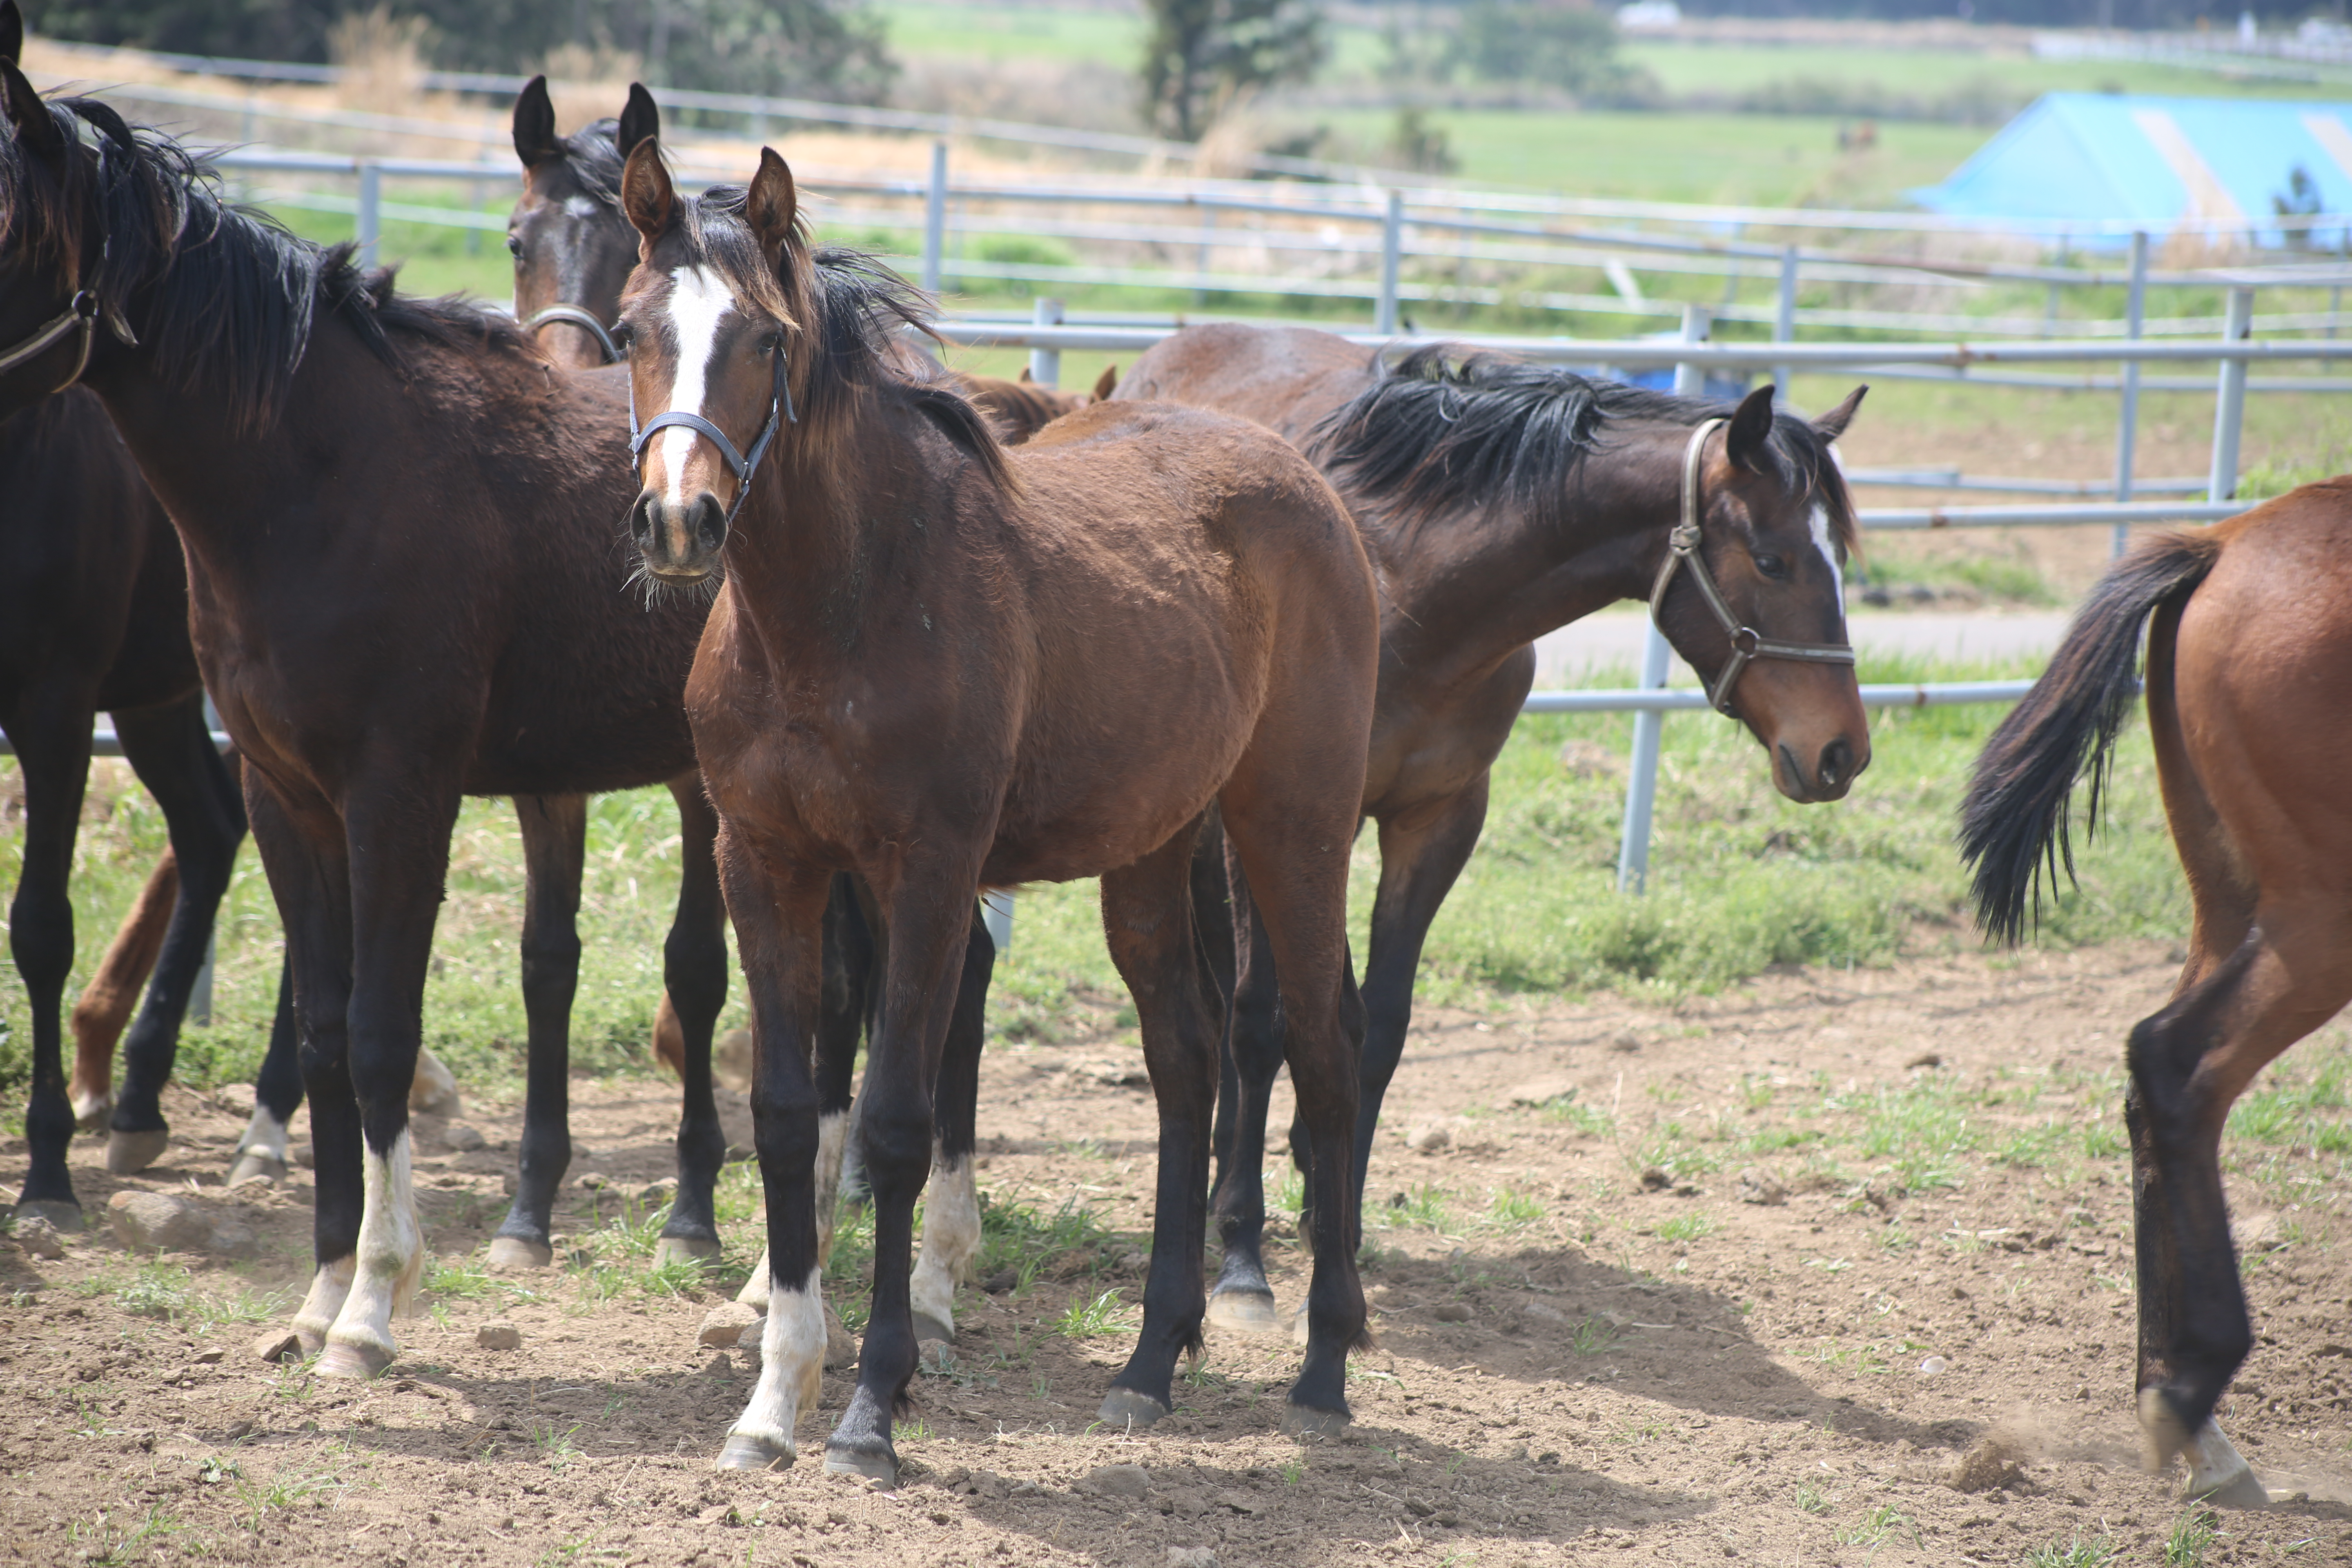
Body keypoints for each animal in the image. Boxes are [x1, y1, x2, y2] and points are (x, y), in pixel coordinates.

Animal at [0, 73, 743, 1363]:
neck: (325, 484)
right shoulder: (286, 793)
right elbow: (325, 1034)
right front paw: (322, 1285)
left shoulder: (399, 793)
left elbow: (383, 1035)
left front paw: (375, 1303)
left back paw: (724, 1227)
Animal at [616, 141, 1373, 1476]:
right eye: (626, 331)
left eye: (765, 338)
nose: (678, 521)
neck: (838, 609)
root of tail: (1311, 490)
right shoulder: (769, 859)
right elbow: (786, 1109)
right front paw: (771, 1401)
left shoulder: (927, 872)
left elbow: (896, 1124)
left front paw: (871, 1406)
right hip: (1152, 852)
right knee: (1183, 1058)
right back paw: (1148, 1361)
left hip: (1294, 827)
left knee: (1325, 1053)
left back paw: (1322, 1369)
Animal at [1105, 329, 1872, 1335]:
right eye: (1775, 560)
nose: (1841, 752)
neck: (1405, 584)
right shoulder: (1269, 821)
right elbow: (1259, 1021)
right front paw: (1241, 1256)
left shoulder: (1440, 821)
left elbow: (1380, 1028)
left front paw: (1340, 1222)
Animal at [1966, 484, 2352, 1504]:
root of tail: (2223, 542)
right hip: (2319, 919)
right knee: (2177, 1066)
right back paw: (2191, 1392)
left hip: (2230, 904)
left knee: (2159, 1085)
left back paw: (2194, 1422)